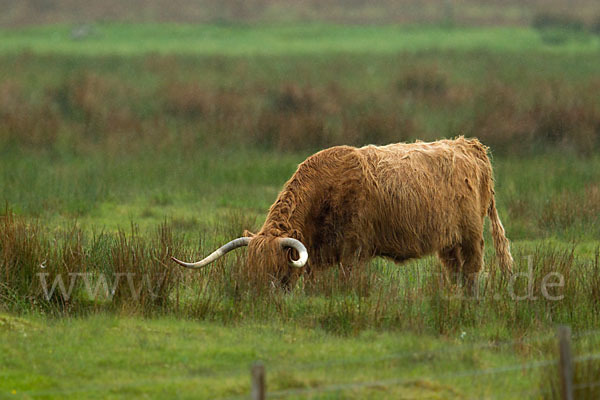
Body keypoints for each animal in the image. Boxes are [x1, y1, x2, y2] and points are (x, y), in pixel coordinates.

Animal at [171, 137, 512, 288]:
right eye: (248, 270)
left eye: (276, 272)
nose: (256, 297)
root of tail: (469, 145)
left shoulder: (354, 252)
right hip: (448, 243)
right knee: (455, 272)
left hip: (471, 237)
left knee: (472, 271)